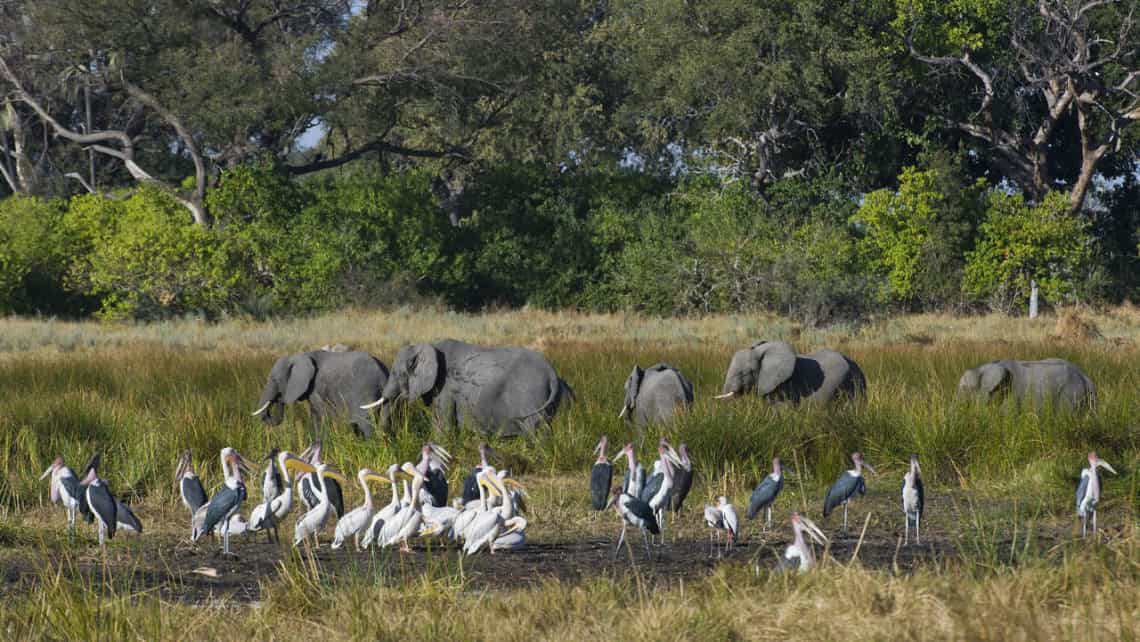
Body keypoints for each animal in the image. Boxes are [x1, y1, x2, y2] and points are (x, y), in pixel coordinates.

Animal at [251, 348, 389, 440]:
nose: (279, 397)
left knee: (366, 424)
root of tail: (381, 373)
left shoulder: (315, 388)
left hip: (365, 391)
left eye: (275, 380)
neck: (299, 356)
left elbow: (319, 416)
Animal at [362, 339, 570, 440]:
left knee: (537, 430)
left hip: (529, 396)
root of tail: (551, 372)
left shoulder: (445, 388)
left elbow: (442, 426)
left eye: (397, 373)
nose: (387, 441)